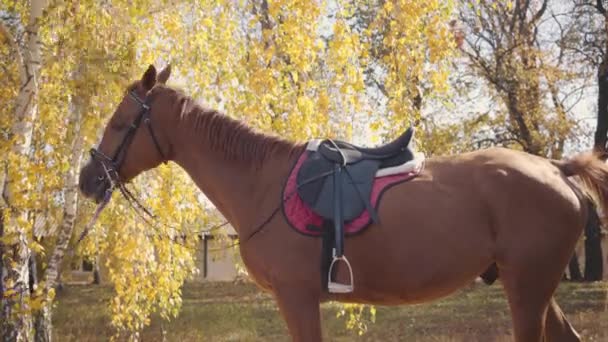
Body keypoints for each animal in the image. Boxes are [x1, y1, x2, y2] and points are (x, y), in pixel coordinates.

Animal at [81, 63, 608, 340]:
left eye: (120, 121)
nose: (88, 179)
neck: (262, 183)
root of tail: (556, 169)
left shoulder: (296, 297)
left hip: (528, 286)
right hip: (533, 284)